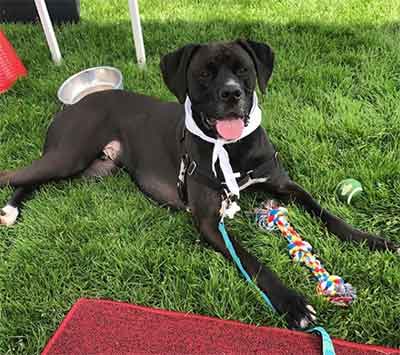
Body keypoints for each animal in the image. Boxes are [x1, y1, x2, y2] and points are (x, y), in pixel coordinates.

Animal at [1, 39, 398, 328]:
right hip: (68, 155)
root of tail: (71, 107)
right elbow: (253, 261)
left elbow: (328, 214)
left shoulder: (284, 185)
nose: (231, 93)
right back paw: (9, 209)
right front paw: (293, 304)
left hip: (95, 169)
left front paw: (373, 240)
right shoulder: (209, 221)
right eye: (204, 74)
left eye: (243, 70)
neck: (232, 149)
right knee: (16, 177)